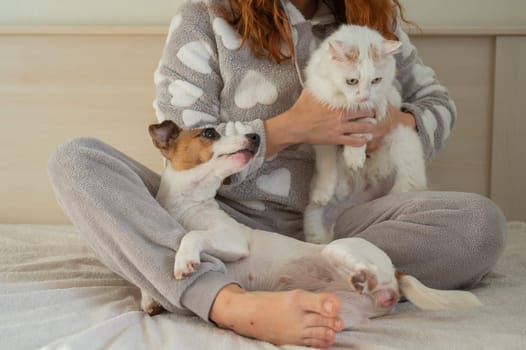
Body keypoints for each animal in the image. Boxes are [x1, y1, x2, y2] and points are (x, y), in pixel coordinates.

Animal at [140, 119, 482, 326]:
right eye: (210, 133)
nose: (255, 136)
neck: (187, 204)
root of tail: (398, 273)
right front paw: (149, 300)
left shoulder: (232, 238)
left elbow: (192, 235)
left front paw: (184, 260)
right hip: (341, 311)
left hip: (341, 249)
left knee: (369, 272)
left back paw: (363, 277)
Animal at [306, 25, 428, 243]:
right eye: (352, 81)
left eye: (376, 80)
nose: (364, 96)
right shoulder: (321, 134)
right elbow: (326, 166)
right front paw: (323, 192)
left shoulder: (386, 100)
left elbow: (362, 128)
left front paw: (354, 158)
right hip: (314, 224)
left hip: (404, 140)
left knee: (408, 183)